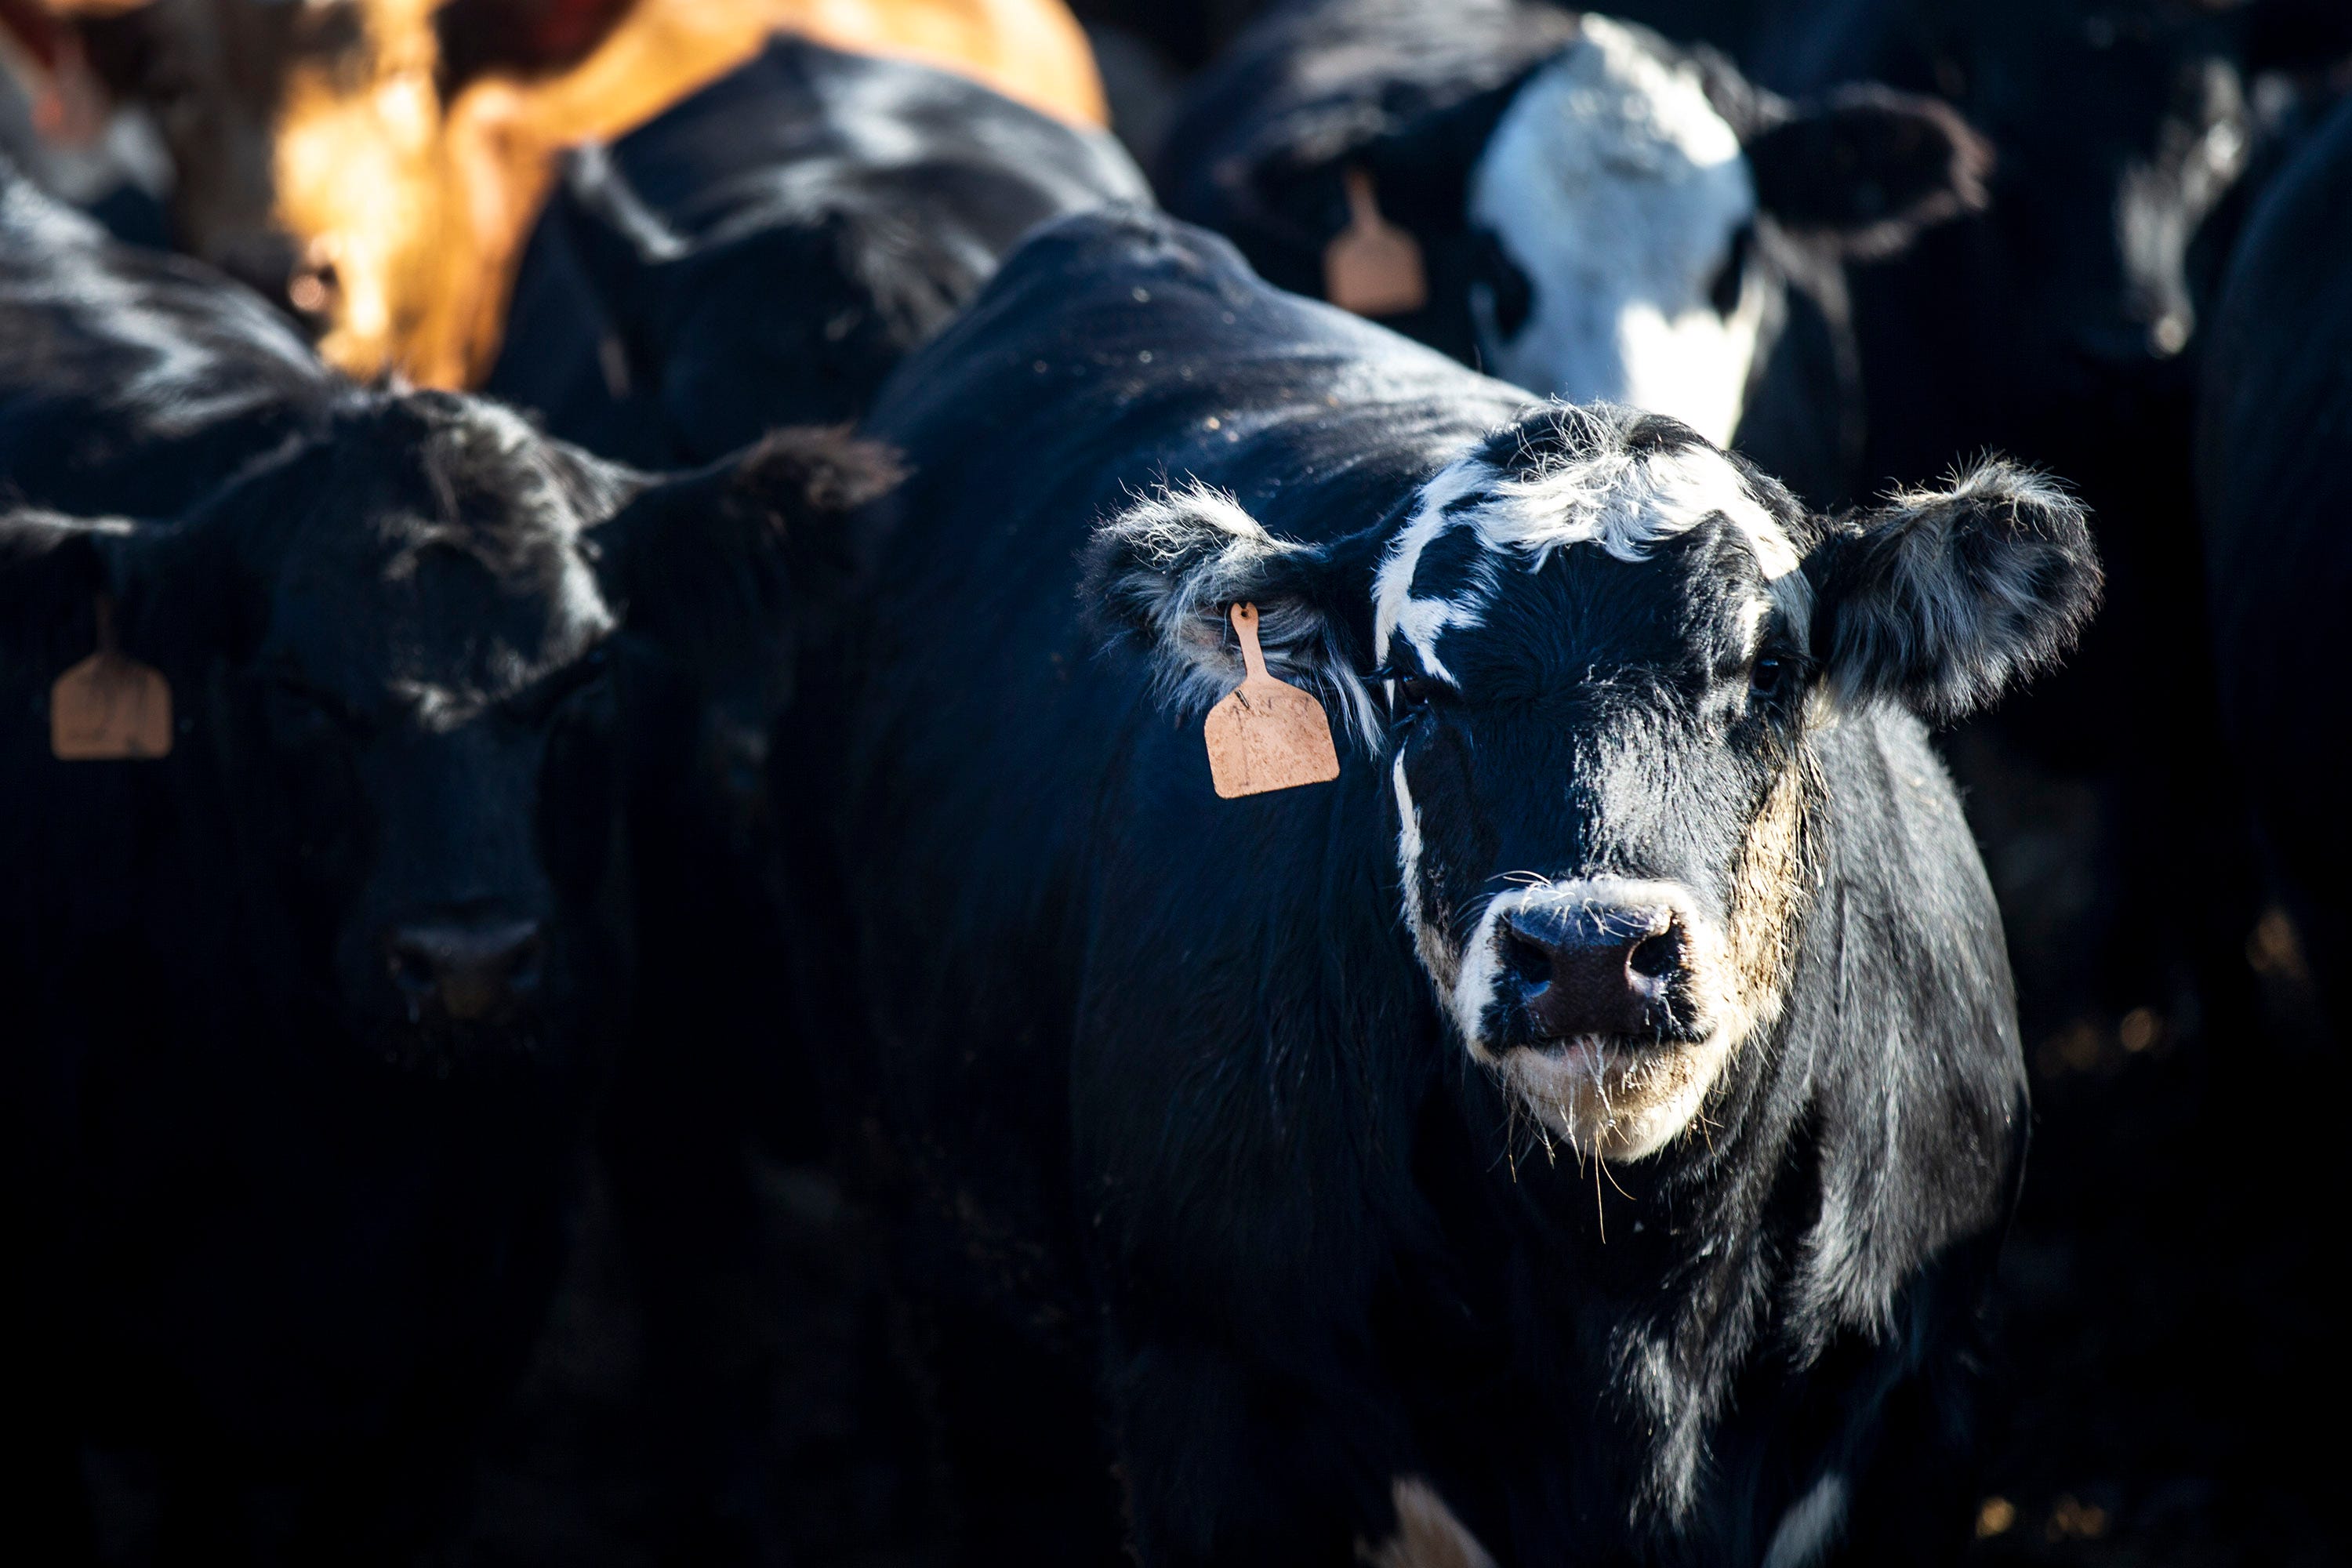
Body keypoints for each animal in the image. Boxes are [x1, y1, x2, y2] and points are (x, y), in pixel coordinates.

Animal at [784, 206, 2098, 1565]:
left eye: (1773, 668)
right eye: (1413, 691)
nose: (1590, 950)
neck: (1627, 1313)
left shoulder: (1920, 1402)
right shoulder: (1210, 1404)